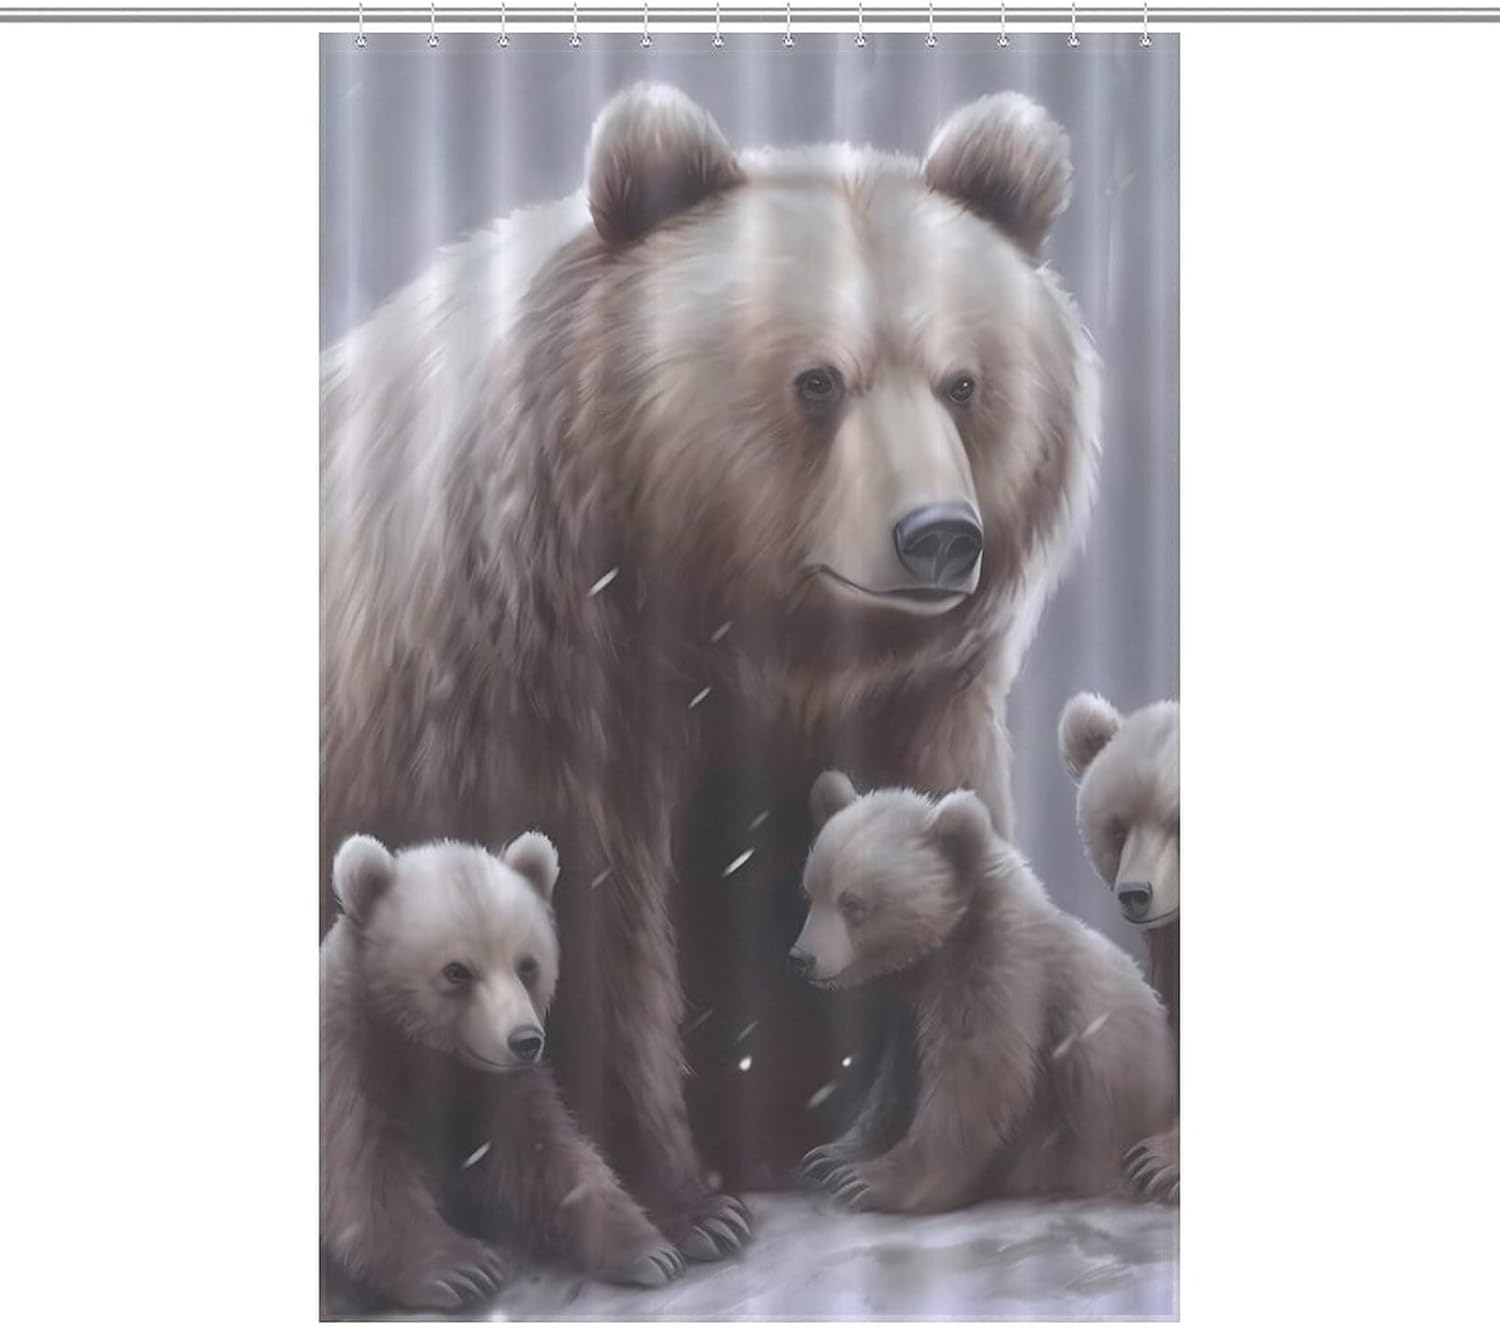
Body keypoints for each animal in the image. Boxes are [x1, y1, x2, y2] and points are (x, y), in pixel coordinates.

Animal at [320, 81, 1100, 1240]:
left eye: (963, 382)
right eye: (818, 380)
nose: (940, 535)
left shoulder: (912, 702)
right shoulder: (535, 694)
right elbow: (592, 929)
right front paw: (689, 1200)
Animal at [320, 833, 685, 1313]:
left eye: (526, 965)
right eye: (456, 971)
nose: (525, 1040)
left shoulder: (497, 1086)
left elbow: (544, 1155)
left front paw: (648, 1249)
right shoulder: (346, 1056)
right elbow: (363, 1168)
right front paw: (462, 1269)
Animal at [791, 771, 1177, 1213]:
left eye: (852, 904)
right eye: (810, 893)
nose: (801, 957)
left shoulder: (1001, 972)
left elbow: (978, 1077)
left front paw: (868, 1180)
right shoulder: (914, 1004)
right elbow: (901, 1077)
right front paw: (832, 1156)